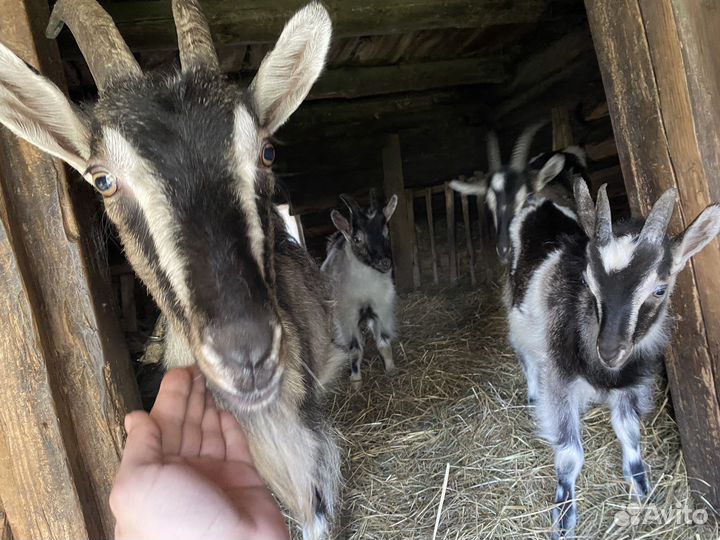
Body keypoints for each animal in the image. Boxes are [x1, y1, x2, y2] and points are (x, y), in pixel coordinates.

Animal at [322, 191, 398, 384]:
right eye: (357, 239)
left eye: (386, 231)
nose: (384, 263)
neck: (365, 289)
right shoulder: (347, 316)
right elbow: (355, 350)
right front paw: (356, 380)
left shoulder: (382, 309)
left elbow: (384, 344)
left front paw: (391, 369)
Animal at [508, 177, 720, 538]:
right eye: (588, 283)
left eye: (660, 289)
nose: (609, 350)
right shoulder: (560, 379)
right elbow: (569, 454)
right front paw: (564, 519)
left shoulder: (630, 384)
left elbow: (630, 436)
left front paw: (644, 496)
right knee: (524, 351)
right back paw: (532, 392)